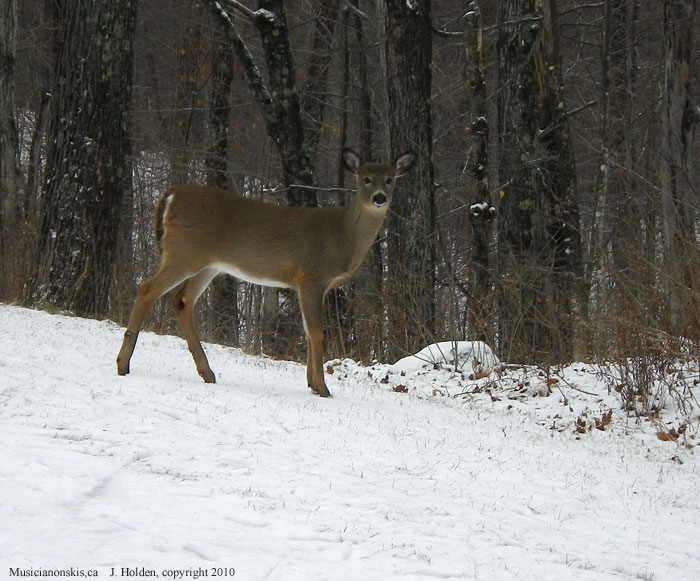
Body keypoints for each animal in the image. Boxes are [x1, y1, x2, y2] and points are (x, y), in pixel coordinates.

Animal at [116, 148, 416, 397]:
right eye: (366, 178)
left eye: (390, 179)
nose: (379, 198)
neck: (343, 234)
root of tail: (171, 194)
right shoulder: (312, 276)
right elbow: (317, 331)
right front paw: (322, 387)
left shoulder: (311, 285)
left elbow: (308, 331)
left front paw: (311, 383)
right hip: (184, 252)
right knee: (146, 289)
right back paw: (123, 364)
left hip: (208, 264)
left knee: (181, 301)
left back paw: (207, 373)